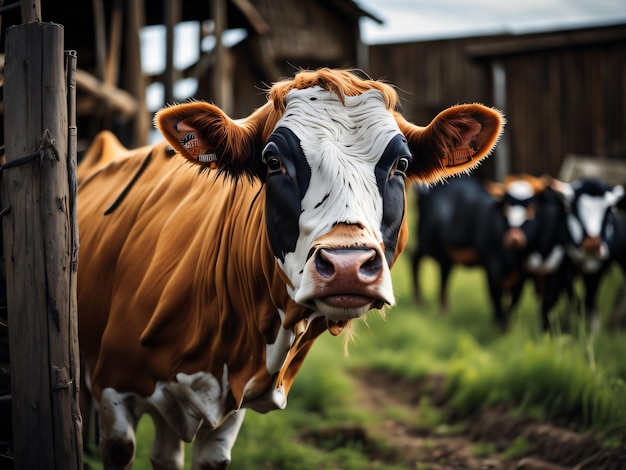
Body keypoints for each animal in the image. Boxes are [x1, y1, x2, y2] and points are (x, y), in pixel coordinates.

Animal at [410, 173, 564, 330]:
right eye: (505, 208)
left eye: (532, 208)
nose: (514, 238)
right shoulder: (492, 264)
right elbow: (496, 293)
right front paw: (500, 325)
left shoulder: (521, 273)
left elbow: (515, 298)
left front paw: (509, 324)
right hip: (427, 240)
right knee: (414, 257)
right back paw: (420, 301)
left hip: (445, 251)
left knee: (444, 271)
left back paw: (443, 309)